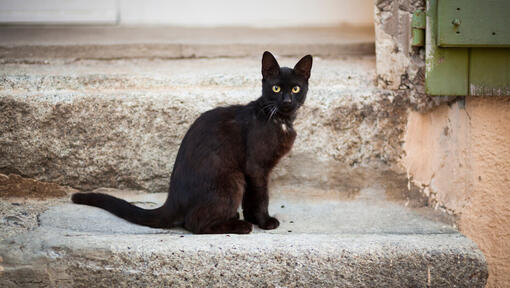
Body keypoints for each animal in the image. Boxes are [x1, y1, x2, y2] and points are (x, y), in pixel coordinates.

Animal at [71, 51, 310, 234]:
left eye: (295, 88)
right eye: (276, 88)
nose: (287, 100)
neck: (281, 120)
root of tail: (172, 199)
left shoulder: (255, 171)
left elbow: (253, 199)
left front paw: (254, 219)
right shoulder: (256, 168)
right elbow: (261, 197)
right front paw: (263, 222)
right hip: (232, 179)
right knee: (194, 224)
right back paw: (238, 226)